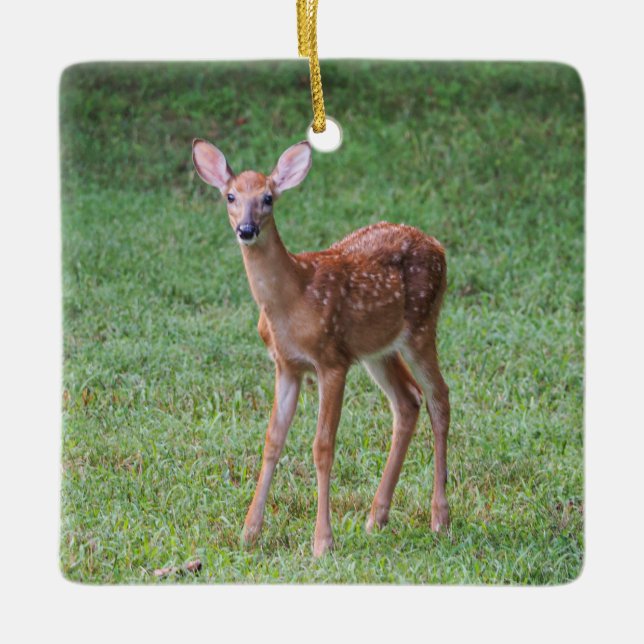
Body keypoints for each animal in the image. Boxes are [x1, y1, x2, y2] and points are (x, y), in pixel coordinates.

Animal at [192, 138, 451, 557]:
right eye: (230, 196)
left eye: (268, 198)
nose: (246, 229)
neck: (293, 299)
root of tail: (439, 245)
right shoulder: (286, 366)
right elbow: (272, 440)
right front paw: (249, 531)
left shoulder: (332, 361)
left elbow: (322, 446)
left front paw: (322, 541)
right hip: (379, 349)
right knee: (408, 401)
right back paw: (376, 517)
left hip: (422, 326)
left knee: (439, 398)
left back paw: (440, 517)